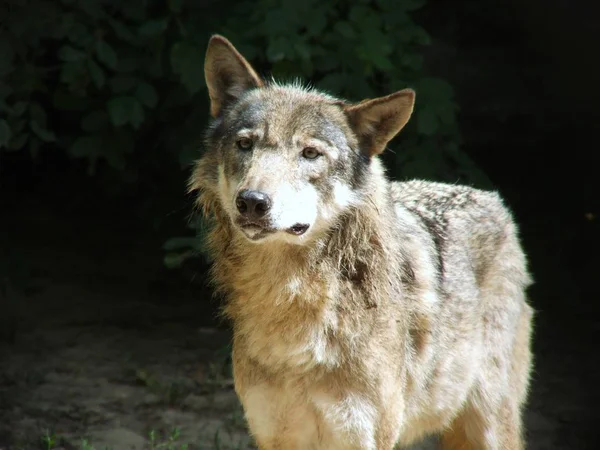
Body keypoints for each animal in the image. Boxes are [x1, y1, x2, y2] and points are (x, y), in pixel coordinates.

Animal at [189, 35, 536, 450]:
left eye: (310, 153)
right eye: (245, 145)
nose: (253, 202)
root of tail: (492, 200)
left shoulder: (363, 436)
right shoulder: (273, 434)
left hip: (489, 426)